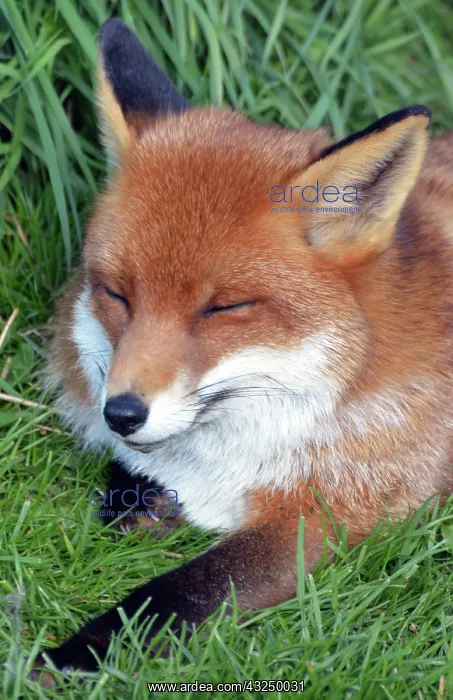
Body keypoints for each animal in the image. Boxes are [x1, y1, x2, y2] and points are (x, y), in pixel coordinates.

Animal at [32, 17, 453, 680]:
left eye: (223, 308)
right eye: (117, 294)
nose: (121, 413)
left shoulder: (328, 514)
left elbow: (179, 594)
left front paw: (72, 658)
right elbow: (125, 487)